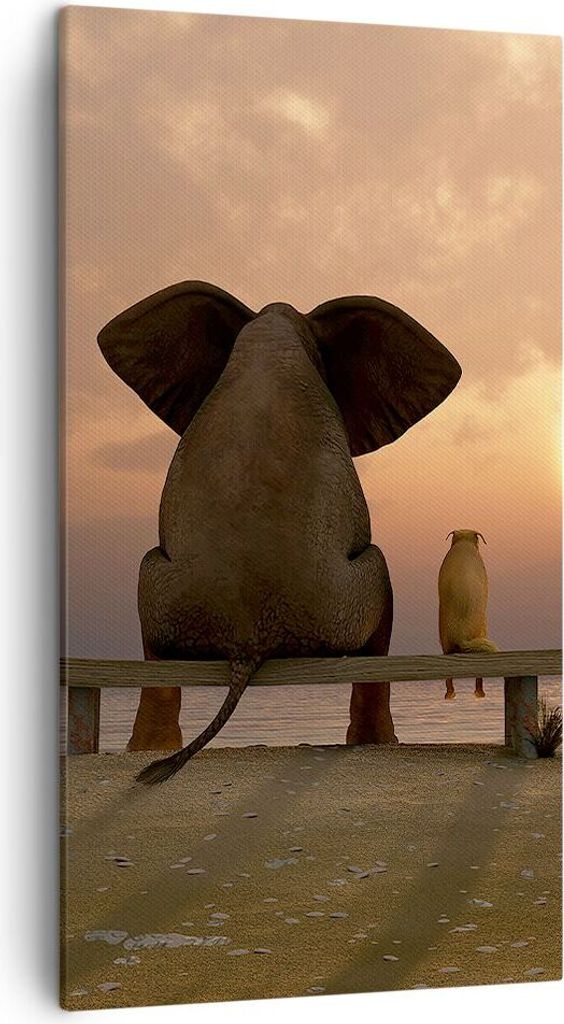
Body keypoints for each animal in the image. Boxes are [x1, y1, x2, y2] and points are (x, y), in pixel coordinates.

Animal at [98, 281, 461, 783]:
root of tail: (248, 643)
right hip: (342, 601)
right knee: (379, 589)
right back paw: (375, 743)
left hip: (168, 593)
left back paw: (147, 752)